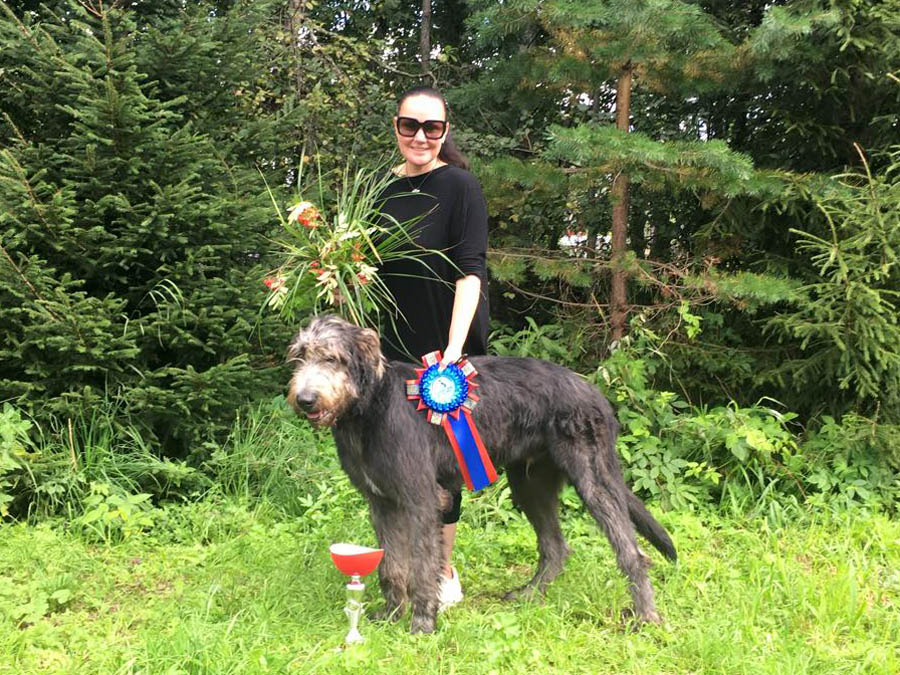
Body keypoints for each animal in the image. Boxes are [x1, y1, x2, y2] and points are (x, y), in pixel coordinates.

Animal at [288, 316, 676, 632]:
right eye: (300, 356)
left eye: (331, 357)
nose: (305, 399)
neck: (369, 408)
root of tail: (593, 391)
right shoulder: (382, 502)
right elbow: (390, 566)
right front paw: (391, 615)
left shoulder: (421, 500)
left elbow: (423, 566)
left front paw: (422, 623)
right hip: (529, 485)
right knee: (555, 547)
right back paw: (530, 594)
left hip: (593, 480)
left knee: (632, 553)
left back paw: (645, 616)